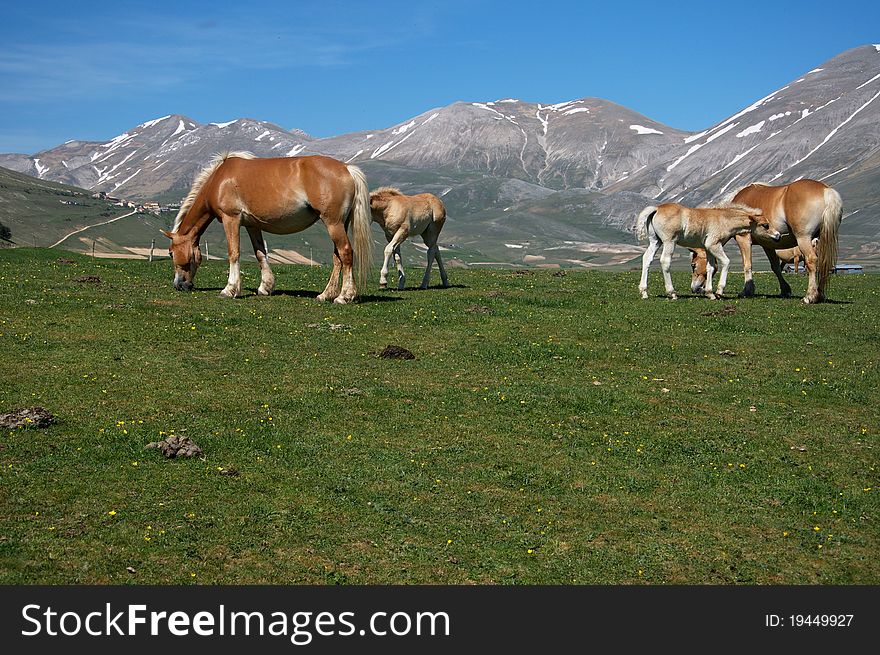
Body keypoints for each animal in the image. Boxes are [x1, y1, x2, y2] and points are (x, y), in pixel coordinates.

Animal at [162, 152, 372, 304]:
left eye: (171, 253)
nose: (179, 285)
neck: (219, 180)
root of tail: (347, 168)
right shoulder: (252, 225)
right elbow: (260, 254)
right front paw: (265, 287)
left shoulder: (231, 219)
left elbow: (234, 253)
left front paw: (230, 289)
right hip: (339, 224)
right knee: (337, 258)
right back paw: (326, 295)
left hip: (333, 223)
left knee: (346, 253)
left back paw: (344, 296)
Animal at [636, 204, 780, 302]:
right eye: (765, 225)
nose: (778, 235)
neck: (723, 219)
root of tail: (656, 208)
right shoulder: (714, 245)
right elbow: (726, 262)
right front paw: (719, 291)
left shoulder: (708, 248)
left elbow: (710, 267)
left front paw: (710, 293)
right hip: (669, 242)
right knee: (665, 261)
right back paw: (672, 293)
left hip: (656, 241)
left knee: (646, 259)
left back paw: (644, 292)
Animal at [692, 179, 844, 302]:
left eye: (693, 265)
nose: (694, 288)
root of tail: (826, 190)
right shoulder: (768, 244)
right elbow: (775, 267)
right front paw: (785, 290)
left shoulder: (743, 239)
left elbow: (747, 265)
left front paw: (747, 290)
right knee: (823, 263)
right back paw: (820, 294)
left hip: (804, 239)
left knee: (811, 261)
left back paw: (810, 296)